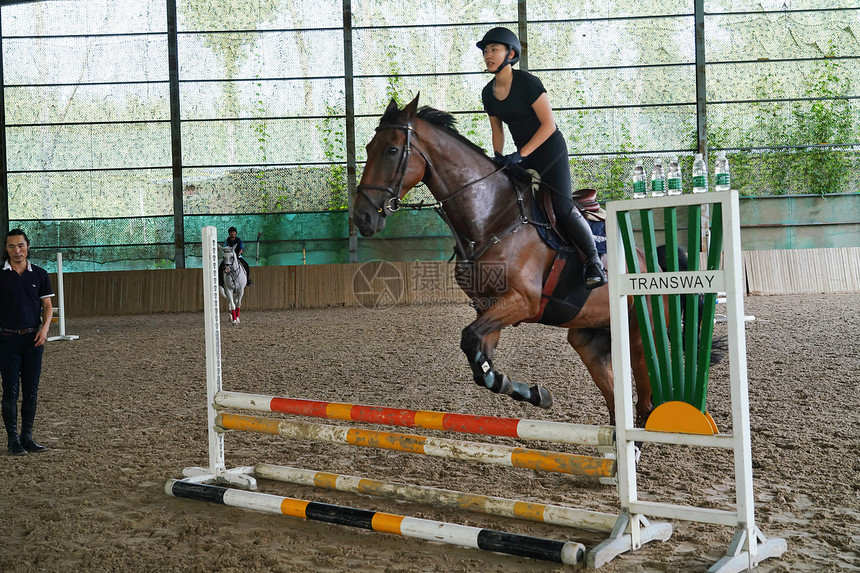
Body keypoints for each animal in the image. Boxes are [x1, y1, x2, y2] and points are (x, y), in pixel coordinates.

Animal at [352, 95, 652, 424]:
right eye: (368, 148)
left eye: (392, 150)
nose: (362, 217)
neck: (492, 217)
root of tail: (642, 257)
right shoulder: (489, 306)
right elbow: (479, 358)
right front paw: (529, 392)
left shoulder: (523, 300)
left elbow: (470, 338)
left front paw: (525, 390)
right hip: (589, 338)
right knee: (613, 397)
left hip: (639, 331)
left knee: (645, 388)